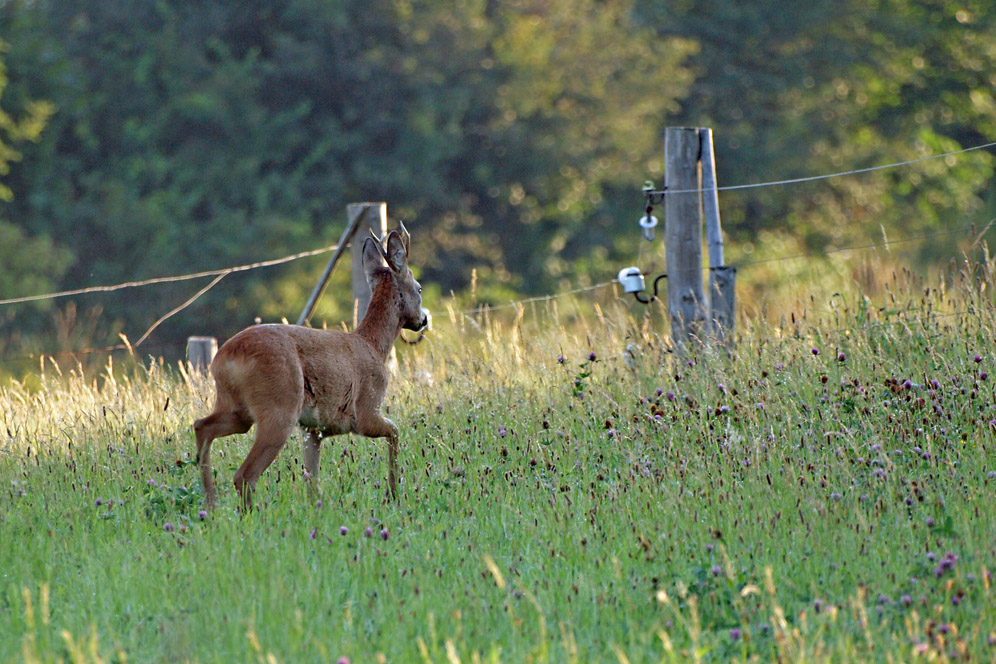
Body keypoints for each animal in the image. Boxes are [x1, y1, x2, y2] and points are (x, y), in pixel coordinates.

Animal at [195, 223, 428, 508]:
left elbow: (312, 483)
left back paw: (211, 506)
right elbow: (395, 432)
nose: (424, 319)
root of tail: (225, 358)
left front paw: (317, 509)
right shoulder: (365, 411)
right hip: (279, 406)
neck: (374, 345)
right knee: (245, 475)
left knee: (202, 426)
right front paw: (393, 494)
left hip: (237, 409)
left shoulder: (312, 430)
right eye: (419, 288)